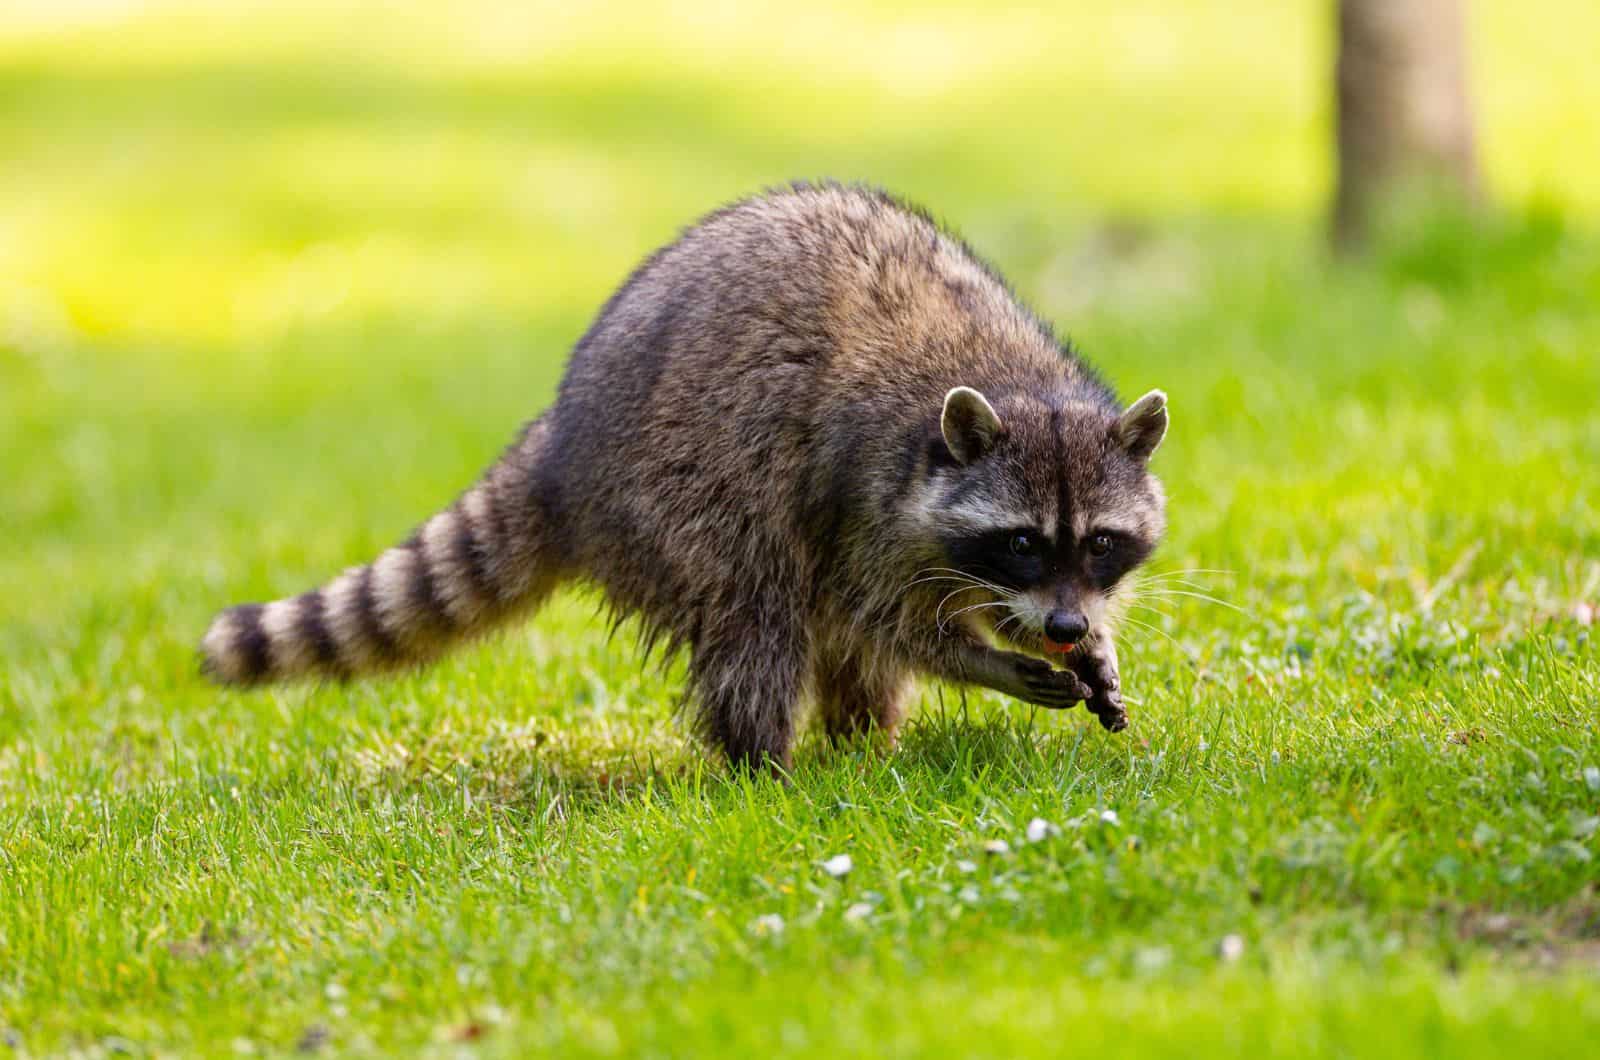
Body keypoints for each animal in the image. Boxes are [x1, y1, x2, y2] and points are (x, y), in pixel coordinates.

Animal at [206, 182, 1171, 771]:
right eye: (1021, 542)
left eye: (1099, 543)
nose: (1064, 624)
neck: (1018, 382)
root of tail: (561, 441)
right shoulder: (867, 495)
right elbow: (886, 618)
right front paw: (986, 661)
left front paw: (1084, 644)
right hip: (676, 489)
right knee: (759, 609)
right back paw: (767, 764)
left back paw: (863, 742)